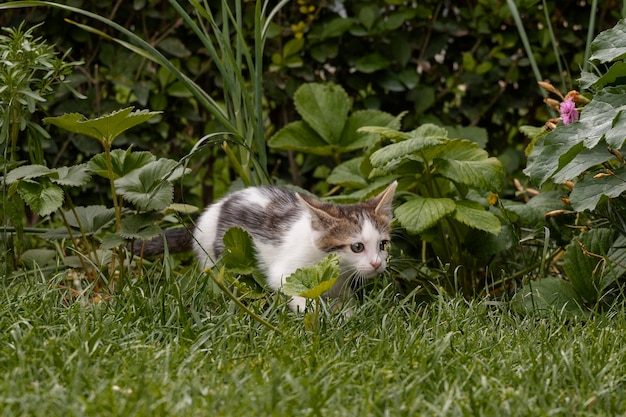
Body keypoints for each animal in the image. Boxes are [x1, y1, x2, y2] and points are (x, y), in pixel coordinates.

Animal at [139, 182, 398, 312]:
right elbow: (297, 294)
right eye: (357, 247)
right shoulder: (287, 273)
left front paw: (346, 315)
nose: (377, 263)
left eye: (383, 244)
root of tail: (211, 211)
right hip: (214, 258)